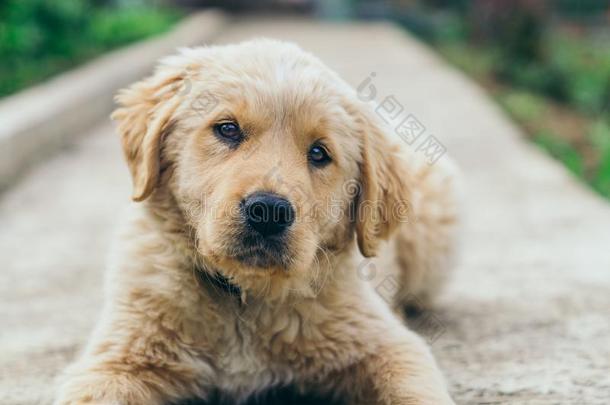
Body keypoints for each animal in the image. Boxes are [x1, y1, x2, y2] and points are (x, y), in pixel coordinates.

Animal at [54, 38, 458, 404]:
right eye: (228, 129)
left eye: (319, 153)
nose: (269, 211)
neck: (244, 299)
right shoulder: (119, 360)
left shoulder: (390, 347)